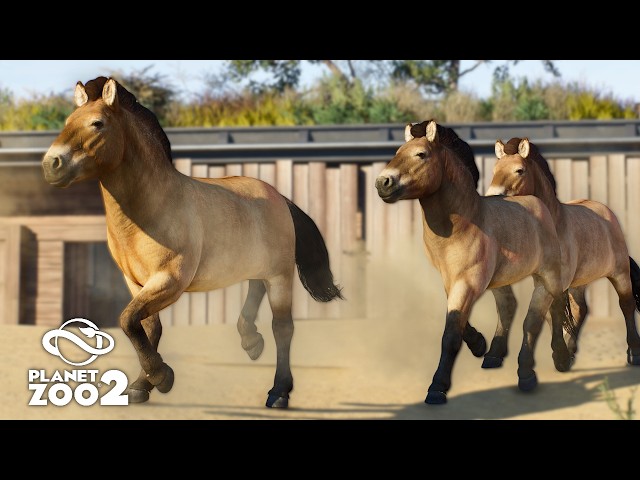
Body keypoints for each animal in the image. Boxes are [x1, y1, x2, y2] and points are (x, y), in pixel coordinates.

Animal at [41, 76, 343, 409]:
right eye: (68, 122)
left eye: (98, 123)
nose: (51, 164)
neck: (153, 207)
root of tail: (279, 197)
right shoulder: (136, 282)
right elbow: (145, 326)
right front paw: (141, 385)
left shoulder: (170, 280)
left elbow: (128, 320)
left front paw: (161, 377)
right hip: (256, 267)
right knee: (255, 291)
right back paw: (251, 341)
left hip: (280, 275)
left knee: (283, 327)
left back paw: (278, 392)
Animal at [375, 120, 574, 404]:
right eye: (397, 152)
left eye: (421, 154)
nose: (383, 182)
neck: (465, 223)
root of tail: (539, 204)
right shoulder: (452, 280)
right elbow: (458, 320)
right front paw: (479, 344)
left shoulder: (468, 282)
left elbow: (450, 332)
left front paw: (437, 387)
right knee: (511, 306)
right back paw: (496, 356)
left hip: (547, 274)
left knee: (548, 311)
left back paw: (544, 366)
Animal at [485, 137, 640, 367]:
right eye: (495, 170)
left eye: (519, 170)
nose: (492, 198)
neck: (554, 227)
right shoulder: (546, 281)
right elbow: (552, 315)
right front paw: (563, 355)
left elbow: (551, 313)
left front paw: (560, 356)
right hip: (579, 281)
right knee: (581, 309)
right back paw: (572, 348)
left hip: (620, 273)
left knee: (627, 305)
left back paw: (633, 353)